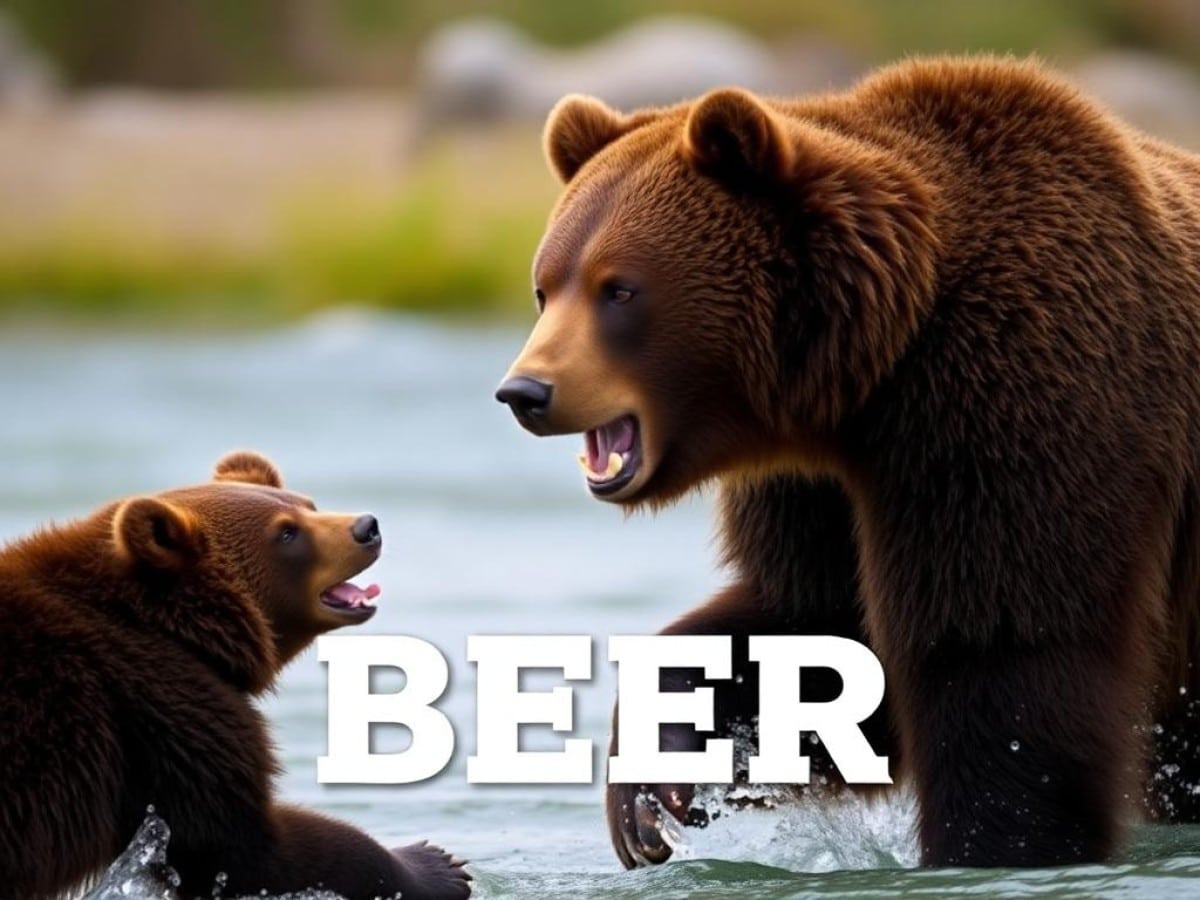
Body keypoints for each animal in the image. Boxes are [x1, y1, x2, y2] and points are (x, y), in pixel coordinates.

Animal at [0, 451, 471, 900]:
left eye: (308, 505)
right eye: (285, 533)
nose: (366, 527)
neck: (177, 627)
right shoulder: (159, 708)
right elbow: (236, 846)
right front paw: (435, 865)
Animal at [495, 55, 1200, 870]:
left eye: (619, 288)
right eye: (545, 286)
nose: (525, 390)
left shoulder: (1023, 402)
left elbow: (1003, 652)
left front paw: (996, 840)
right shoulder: (818, 482)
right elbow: (818, 632)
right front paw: (650, 791)